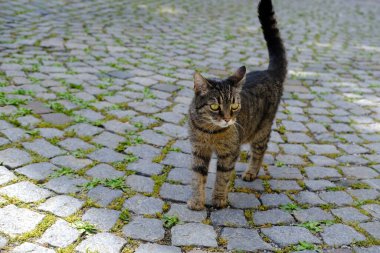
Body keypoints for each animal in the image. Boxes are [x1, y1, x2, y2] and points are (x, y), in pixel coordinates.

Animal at [187, 0, 288, 210]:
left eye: (234, 107)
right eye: (215, 107)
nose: (227, 119)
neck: (210, 131)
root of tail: (269, 71)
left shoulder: (228, 153)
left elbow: (222, 177)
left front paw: (219, 200)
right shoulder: (199, 151)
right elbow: (198, 177)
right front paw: (197, 202)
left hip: (261, 130)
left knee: (260, 150)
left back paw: (251, 172)